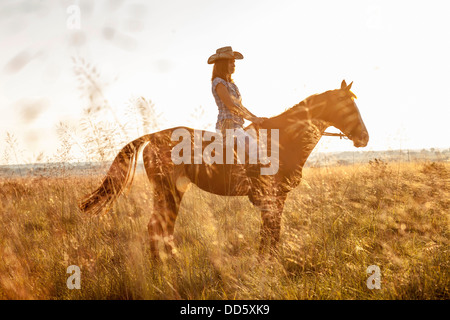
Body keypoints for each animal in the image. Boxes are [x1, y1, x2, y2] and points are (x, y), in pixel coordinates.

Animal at [79, 80, 370, 260]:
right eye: (347, 106)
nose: (364, 138)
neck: (284, 139)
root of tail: (154, 136)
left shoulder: (276, 198)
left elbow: (270, 232)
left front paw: (267, 260)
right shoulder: (272, 196)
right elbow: (271, 231)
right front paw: (269, 262)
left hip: (173, 192)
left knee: (163, 228)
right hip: (168, 191)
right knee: (157, 227)